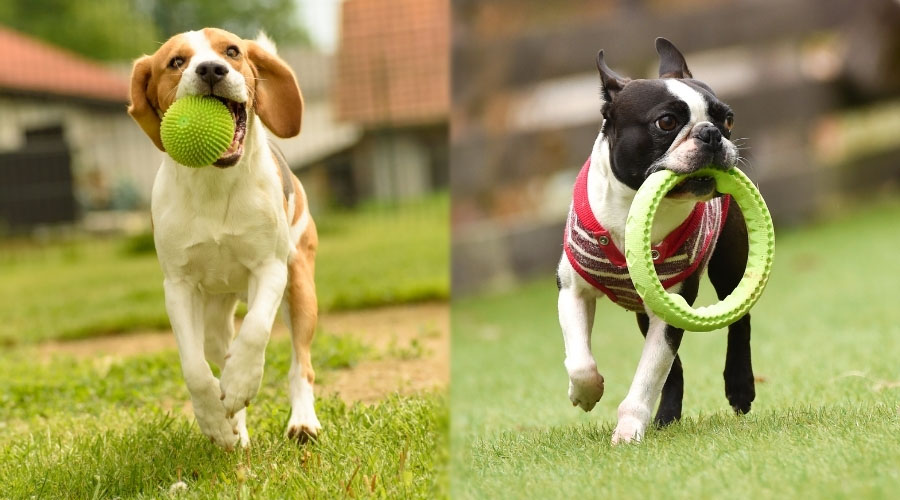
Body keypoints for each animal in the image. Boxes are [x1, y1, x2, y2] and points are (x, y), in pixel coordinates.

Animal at [128, 27, 320, 450]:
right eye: (176, 62)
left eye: (232, 51)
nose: (212, 69)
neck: (214, 183)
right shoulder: (178, 286)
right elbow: (194, 368)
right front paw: (215, 420)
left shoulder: (270, 269)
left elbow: (256, 330)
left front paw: (241, 381)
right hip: (214, 319)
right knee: (218, 353)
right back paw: (235, 428)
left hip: (300, 286)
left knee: (300, 364)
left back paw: (302, 421)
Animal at [556, 40, 752, 446]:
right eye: (666, 122)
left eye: (728, 119)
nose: (712, 133)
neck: (630, 210)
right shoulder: (572, 291)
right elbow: (581, 361)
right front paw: (587, 393)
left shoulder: (673, 303)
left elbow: (648, 375)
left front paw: (628, 429)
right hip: (645, 312)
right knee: (672, 367)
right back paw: (666, 417)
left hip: (730, 265)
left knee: (740, 321)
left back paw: (740, 387)